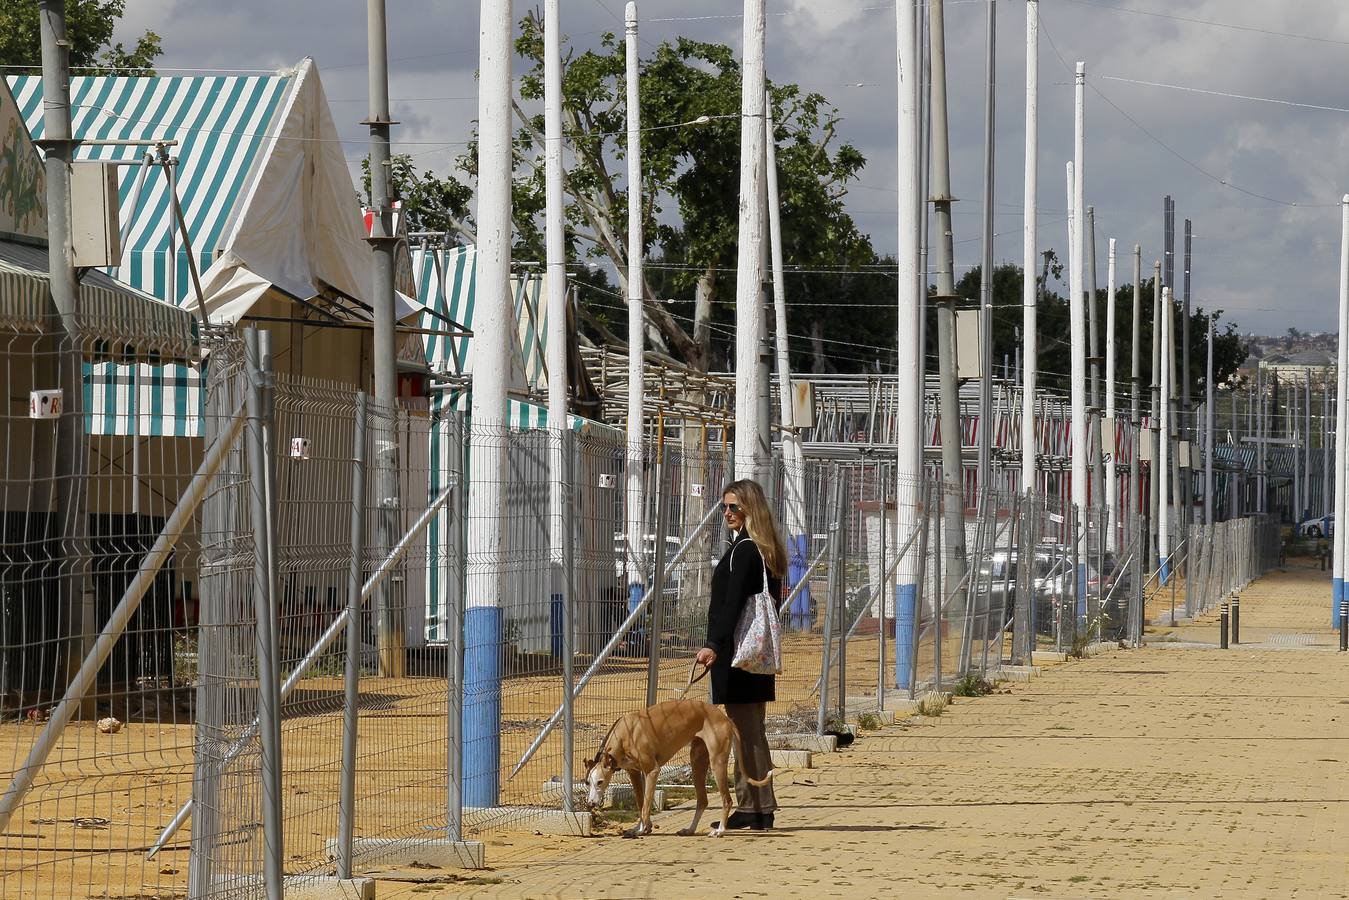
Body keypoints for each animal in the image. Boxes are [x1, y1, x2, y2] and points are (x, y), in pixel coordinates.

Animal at [582, 696, 777, 836]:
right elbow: (640, 801)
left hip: (717, 763)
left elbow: (646, 804)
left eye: (600, 782)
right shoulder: (634, 773)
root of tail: (725, 718)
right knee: (703, 800)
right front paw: (641, 827)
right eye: (587, 783)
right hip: (697, 762)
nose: (590, 803)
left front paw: (642, 829)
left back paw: (720, 831)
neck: (625, 733)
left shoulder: (652, 771)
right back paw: (690, 830)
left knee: (726, 800)